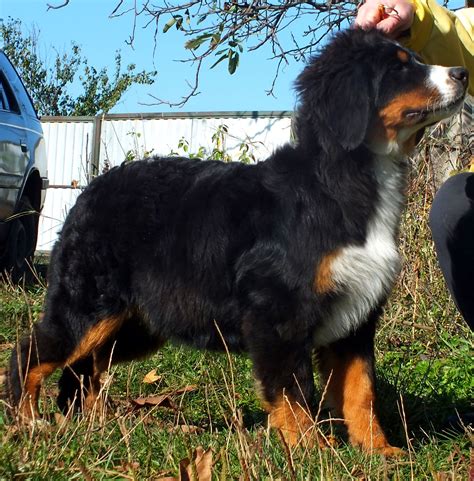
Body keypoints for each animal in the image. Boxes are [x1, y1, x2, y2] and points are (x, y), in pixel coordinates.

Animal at [9, 29, 468, 454]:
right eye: (399, 68)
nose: (462, 73)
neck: (342, 179)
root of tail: (89, 191)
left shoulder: (356, 316)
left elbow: (360, 392)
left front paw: (379, 452)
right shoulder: (278, 313)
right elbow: (293, 391)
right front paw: (311, 451)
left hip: (136, 322)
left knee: (85, 366)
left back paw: (94, 426)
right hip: (87, 307)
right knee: (31, 353)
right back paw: (28, 422)